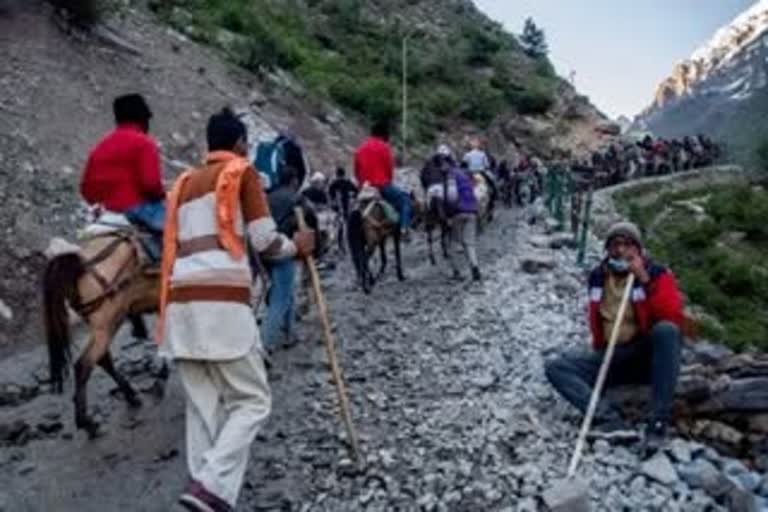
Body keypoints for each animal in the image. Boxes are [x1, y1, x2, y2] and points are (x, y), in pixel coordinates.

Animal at [42, 232, 160, 436]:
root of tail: (80, 265)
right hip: (108, 322)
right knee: (84, 365)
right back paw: (86, 422)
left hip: (104, 325)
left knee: (102, 360)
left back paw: (130, 395)